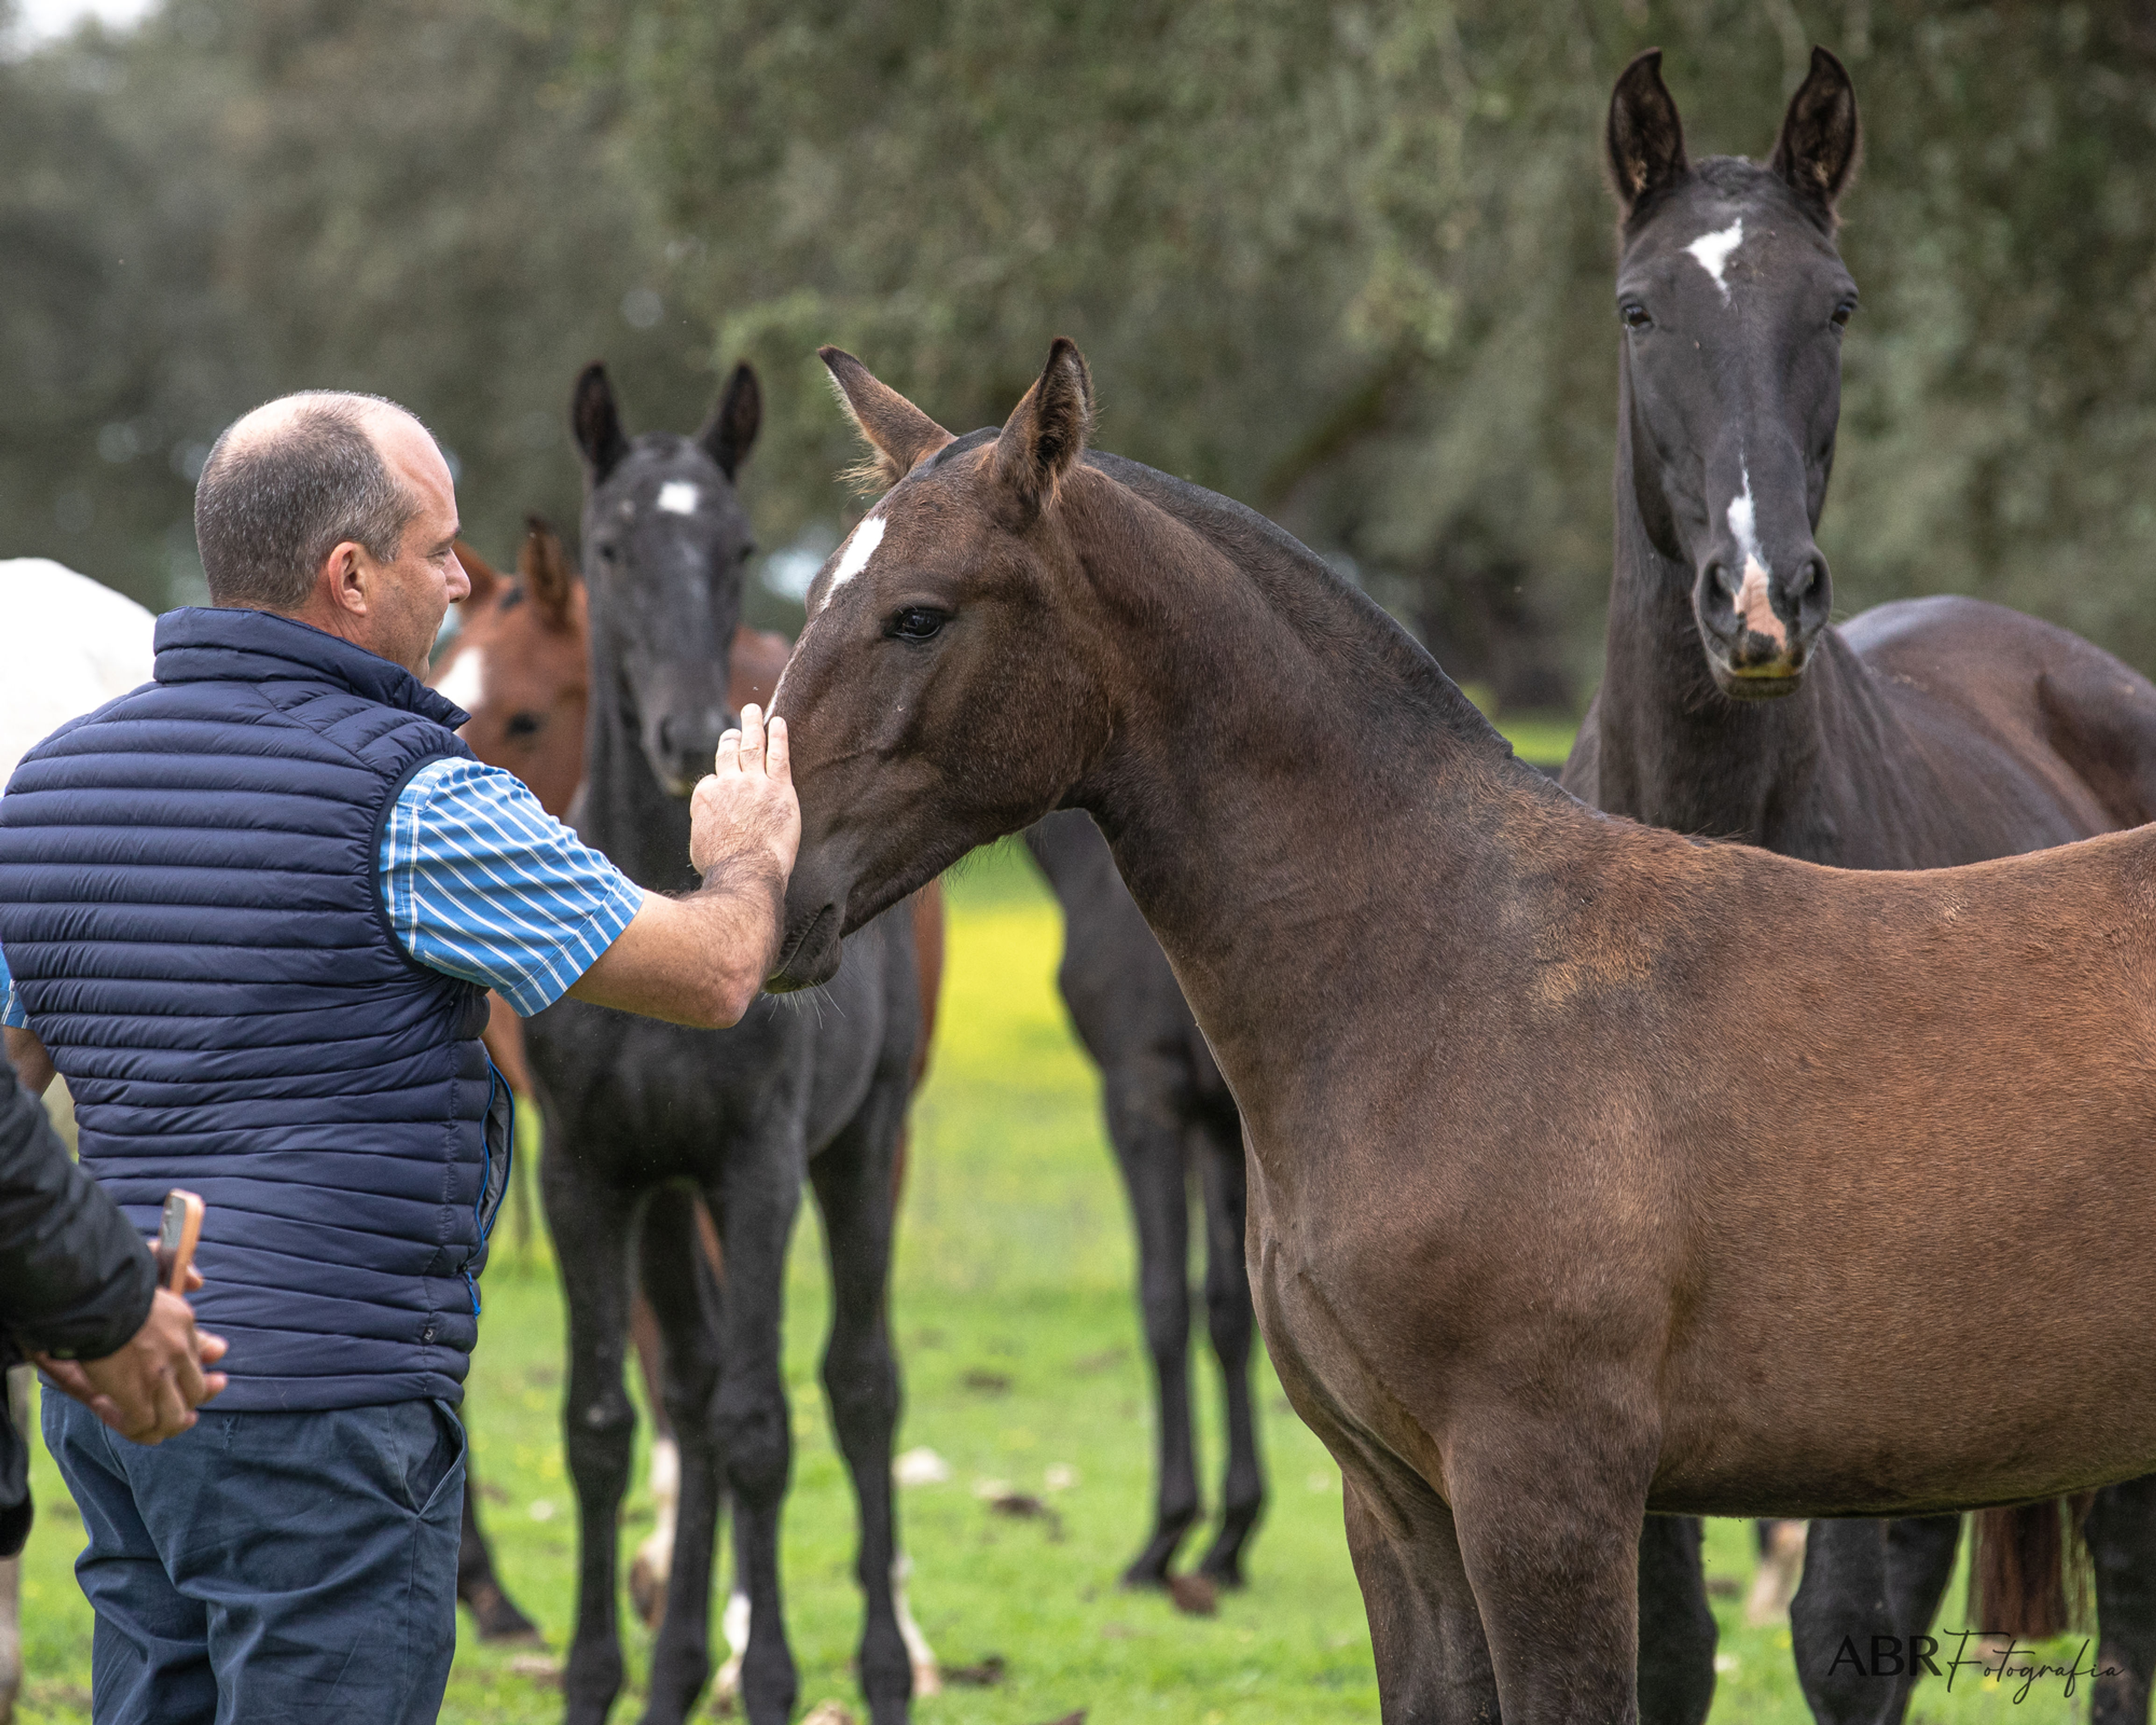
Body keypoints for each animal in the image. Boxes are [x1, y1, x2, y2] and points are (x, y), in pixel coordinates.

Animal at [526, 359, 924, 1725]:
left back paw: (879, 1670)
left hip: (862, 1146)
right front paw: (597, 1677)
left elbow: (763, 1426)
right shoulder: (590, 1174)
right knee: (688, 1390)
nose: (690, 729)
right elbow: (604, 1426)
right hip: (667, 1197)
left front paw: (775, 1680)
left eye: (740, 547)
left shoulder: (757, 1166)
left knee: (859, 1386)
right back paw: (671, 1673)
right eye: (607, 544)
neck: (670, 898)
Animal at [766, 336, 2156, 1725]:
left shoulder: (1543, 1499)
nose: (767, 893)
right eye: (818, 597)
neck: (1449, 977)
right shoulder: (1397, 1507)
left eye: (918, 615)